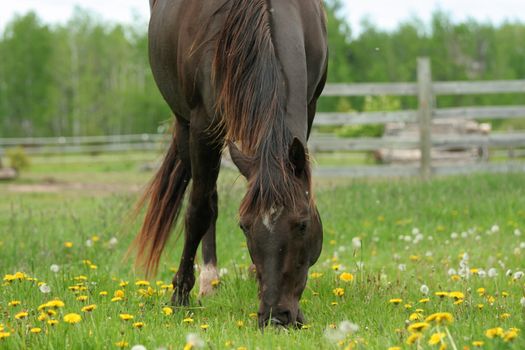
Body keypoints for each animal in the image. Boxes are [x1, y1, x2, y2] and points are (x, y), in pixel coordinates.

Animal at [130, 0, 328, 328]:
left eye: (302, 224)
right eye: (244, 227)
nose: (276, 317)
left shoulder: (310, 107)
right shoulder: (202, 125)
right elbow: (198, 210)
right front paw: (180, 295)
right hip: (187, 125)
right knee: (205, 197)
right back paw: (207, 280)